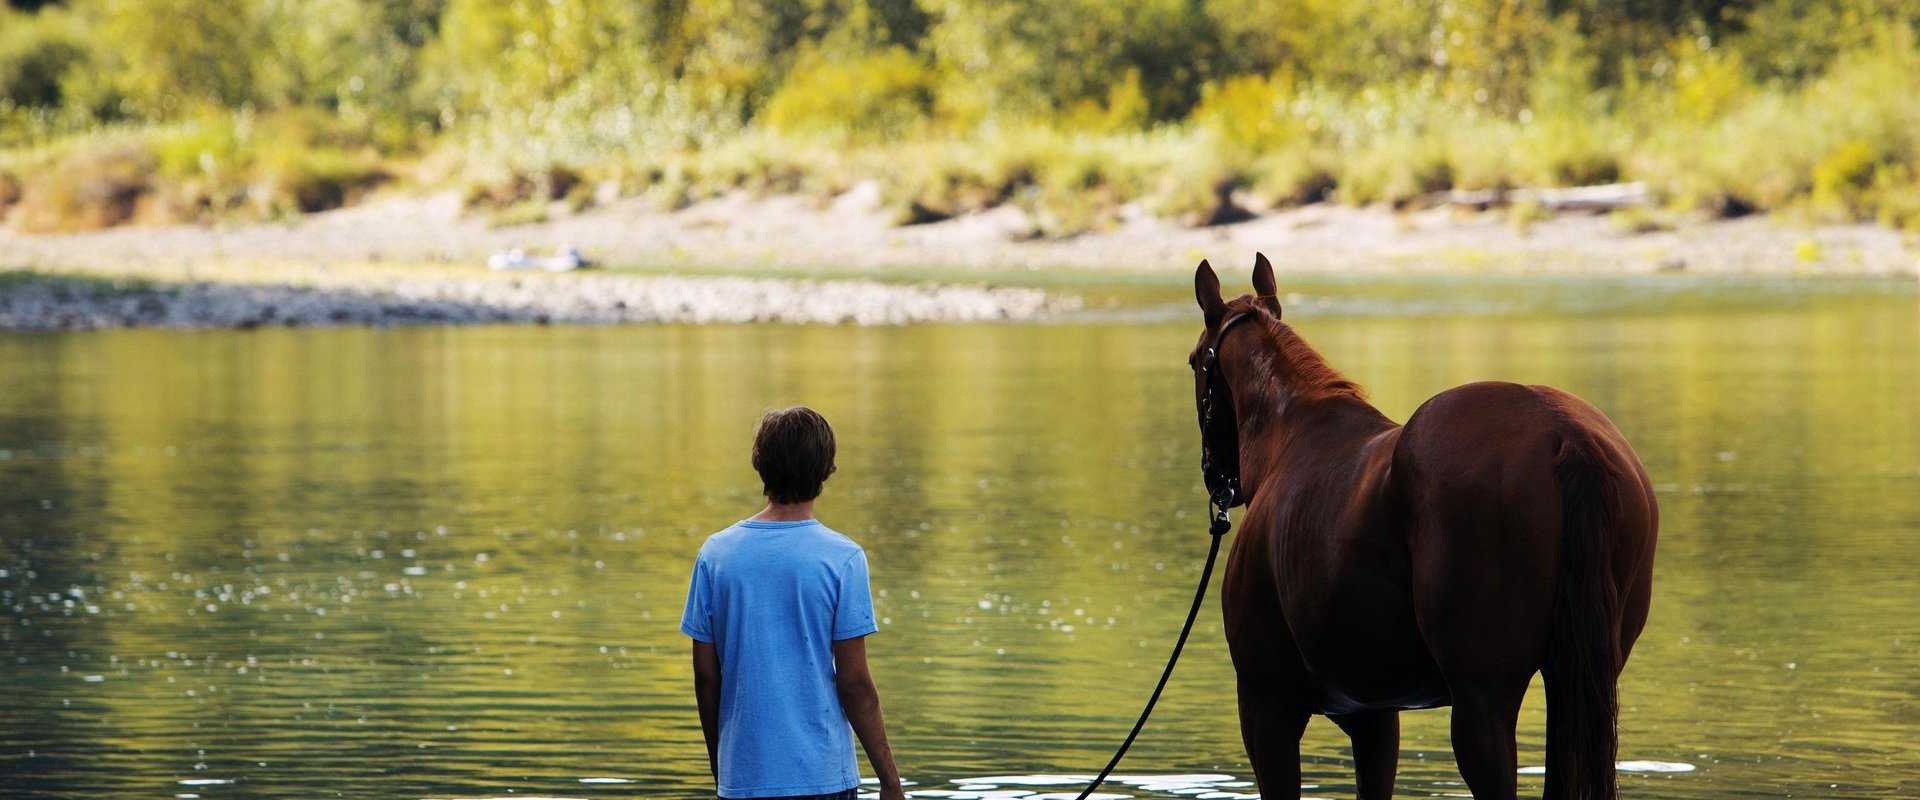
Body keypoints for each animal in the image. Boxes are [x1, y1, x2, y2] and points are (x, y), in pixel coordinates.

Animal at [1182, 255, 1651, 798]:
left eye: (1194, 361)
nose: (1214, 475)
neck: (1291, 435)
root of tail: (1563, 430)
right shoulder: (1374, 716)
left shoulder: (1267, 711)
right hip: (1574, 680)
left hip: (1482, 701)